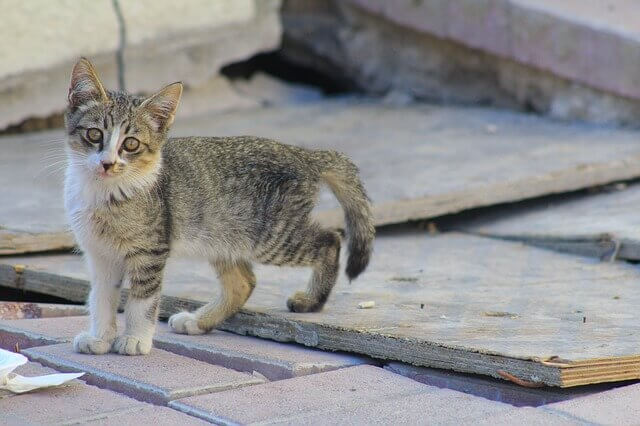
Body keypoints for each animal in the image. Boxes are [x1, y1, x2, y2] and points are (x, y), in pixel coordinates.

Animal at [63, 57, 376, 356]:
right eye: (94, 135)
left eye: (131, 144)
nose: (107, 163)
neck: (104, 194)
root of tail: (304, 154)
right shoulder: (100, 255)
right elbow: (101, 298)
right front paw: (100, 338)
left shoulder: (150, 251)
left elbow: (142, 301)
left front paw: (135, 339)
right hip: (224, 237)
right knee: (243, 283)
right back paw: (198, 321)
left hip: (272, 236)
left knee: (330, 240)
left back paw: (312, 299)